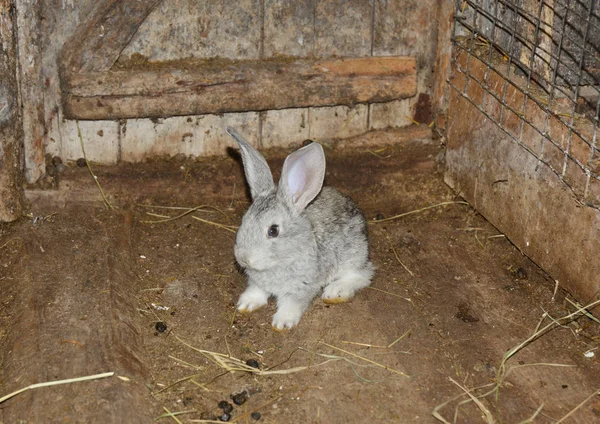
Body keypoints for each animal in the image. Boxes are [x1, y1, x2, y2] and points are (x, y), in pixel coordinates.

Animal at [227, 126, 372, 332]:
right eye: (244, 220)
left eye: (273, 230)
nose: (243, 258)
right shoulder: (257, 282)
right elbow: (256, 291)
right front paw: (246, 304)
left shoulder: (301, 287)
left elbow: (291, 304)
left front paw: (281, 323)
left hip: (352, 256)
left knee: (363, 274)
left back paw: (335, 291)